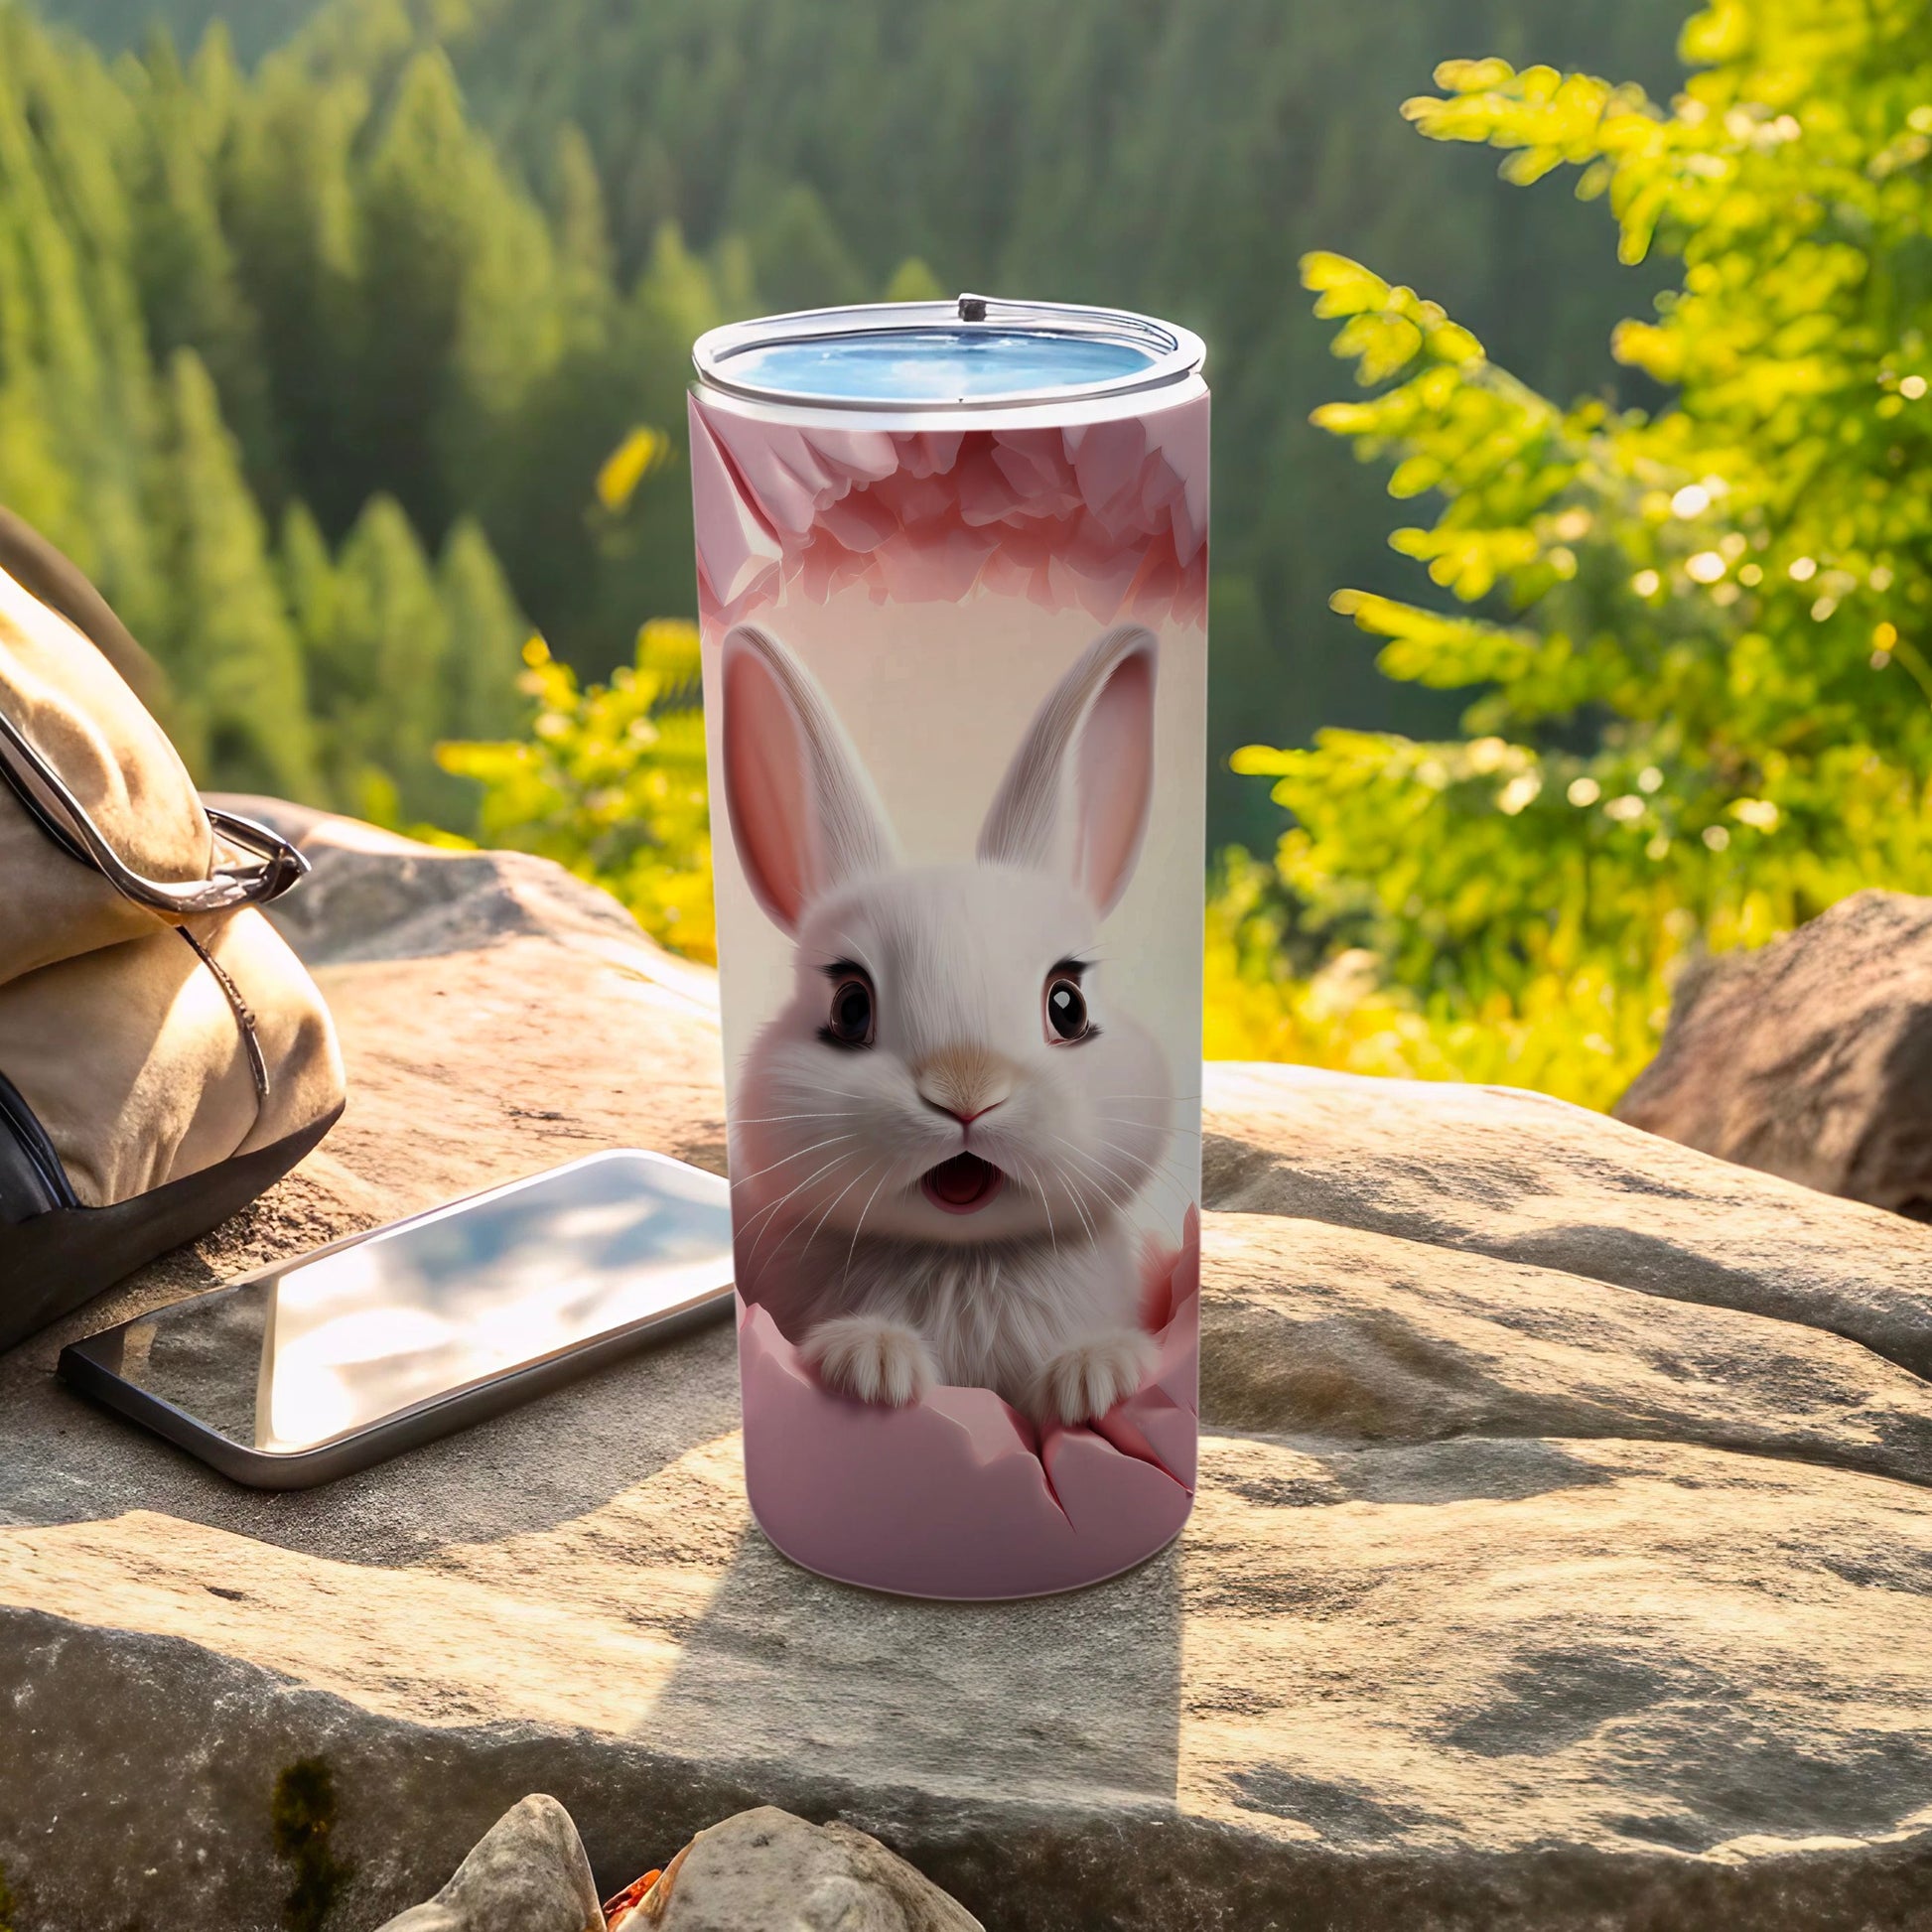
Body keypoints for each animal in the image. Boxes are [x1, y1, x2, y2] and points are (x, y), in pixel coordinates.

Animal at [720, 618, 1177, 1426]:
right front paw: (872, 1363)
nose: (967, 1096)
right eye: (850, 1007)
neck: (963, 1255)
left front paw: (1096, 1375)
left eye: (1068, 1004)